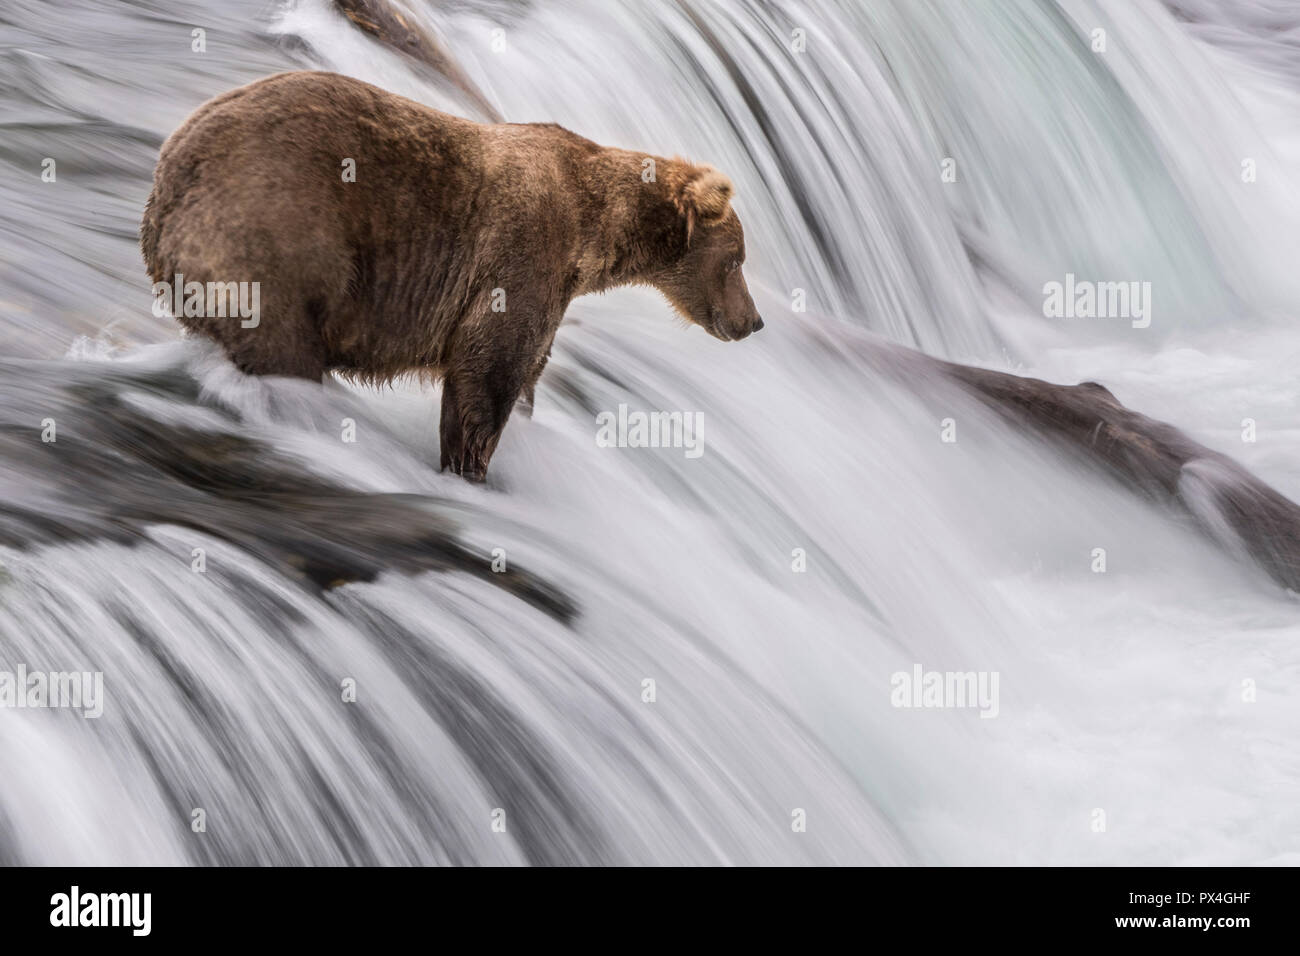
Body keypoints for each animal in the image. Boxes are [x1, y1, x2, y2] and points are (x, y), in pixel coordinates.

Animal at [144, 70, 759, 481]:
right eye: (737, 259)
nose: (752, 321)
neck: (595, 232)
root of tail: (168, 177)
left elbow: (527, 372)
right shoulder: (522, 255)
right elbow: (487, 373)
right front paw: (470, 467)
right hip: (275, 242)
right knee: (284, 354)